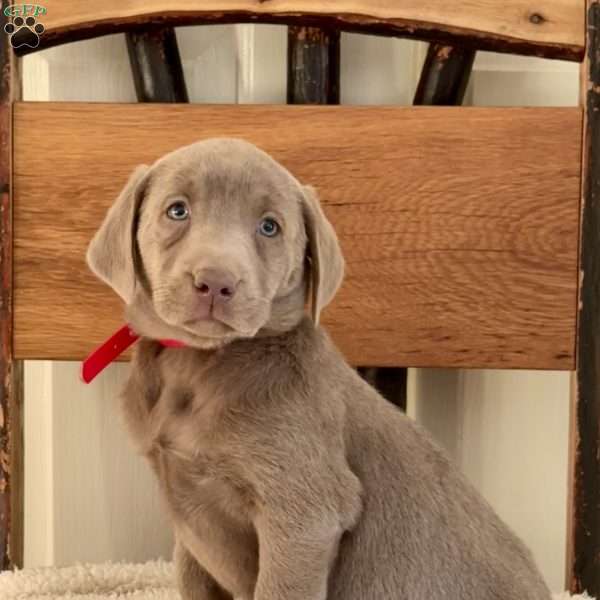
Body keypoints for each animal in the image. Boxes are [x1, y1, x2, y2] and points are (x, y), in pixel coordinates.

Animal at [86, 138, 552, 596]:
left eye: (269, 227)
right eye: (177, 210)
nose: (216, 281)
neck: (200, 363)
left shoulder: (304, 515)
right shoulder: (188, 517)